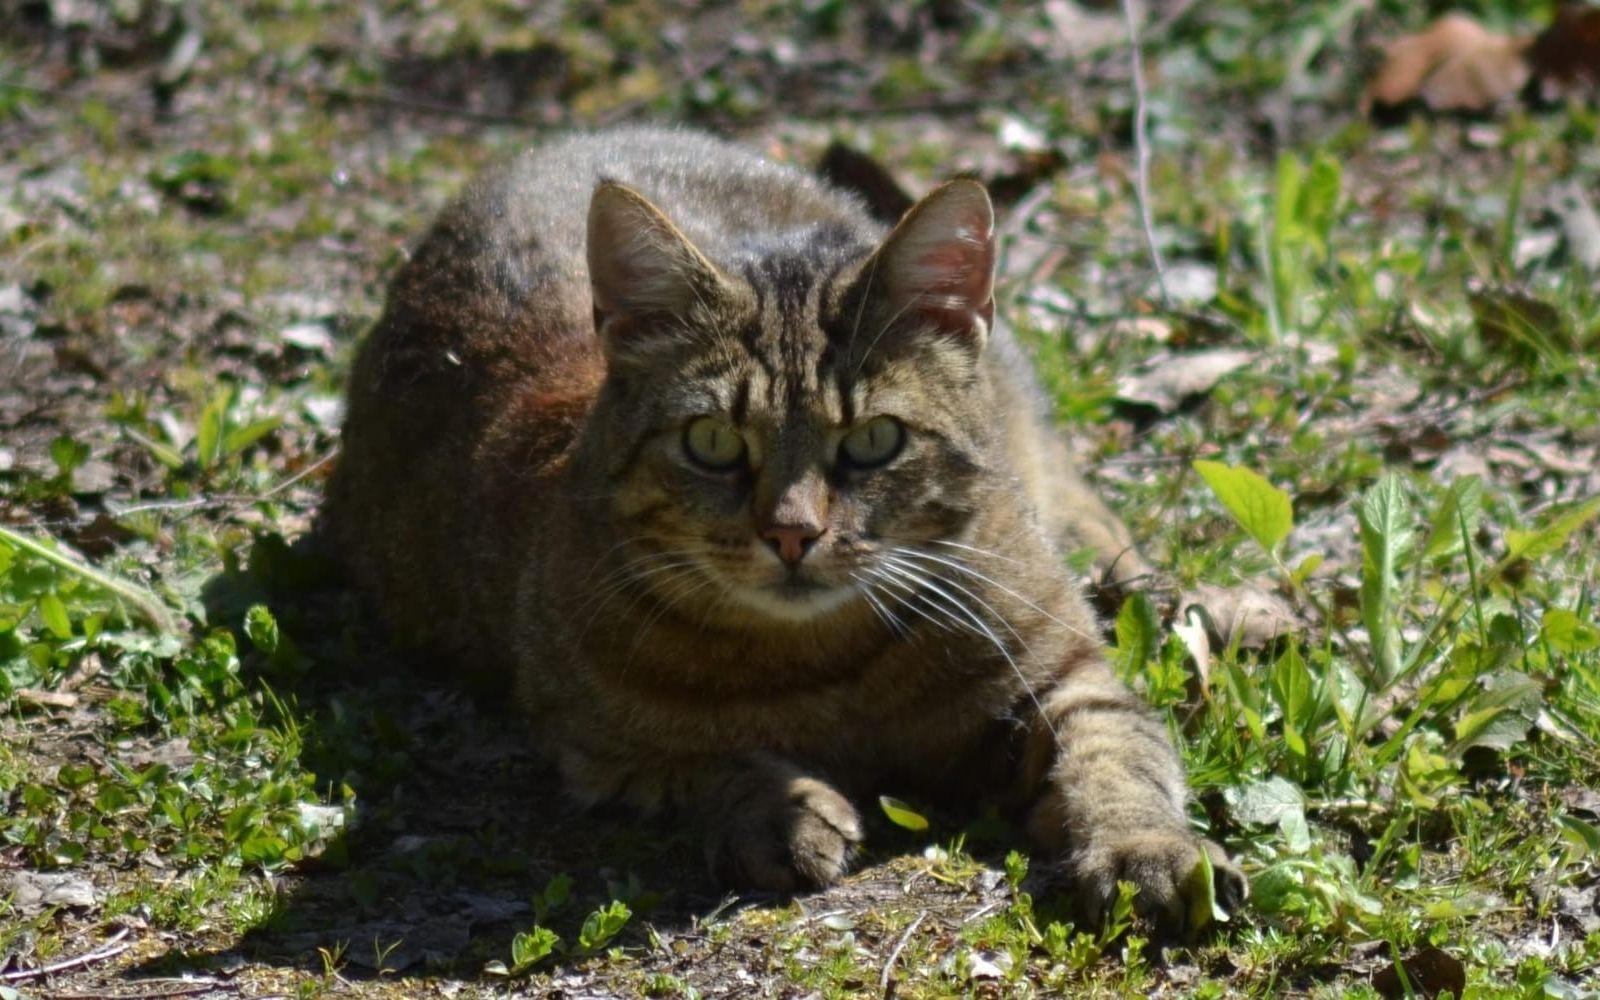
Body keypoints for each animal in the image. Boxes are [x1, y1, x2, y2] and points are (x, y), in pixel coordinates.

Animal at [324, 128, 1241, 934]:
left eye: (874, 441)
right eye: (712, 442)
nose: (793, 533)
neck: (829, 668)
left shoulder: (1060, 676)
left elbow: (1117, 754)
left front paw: (1148, 849)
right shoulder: (594, 743)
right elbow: (702, 758)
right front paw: (784, 809)